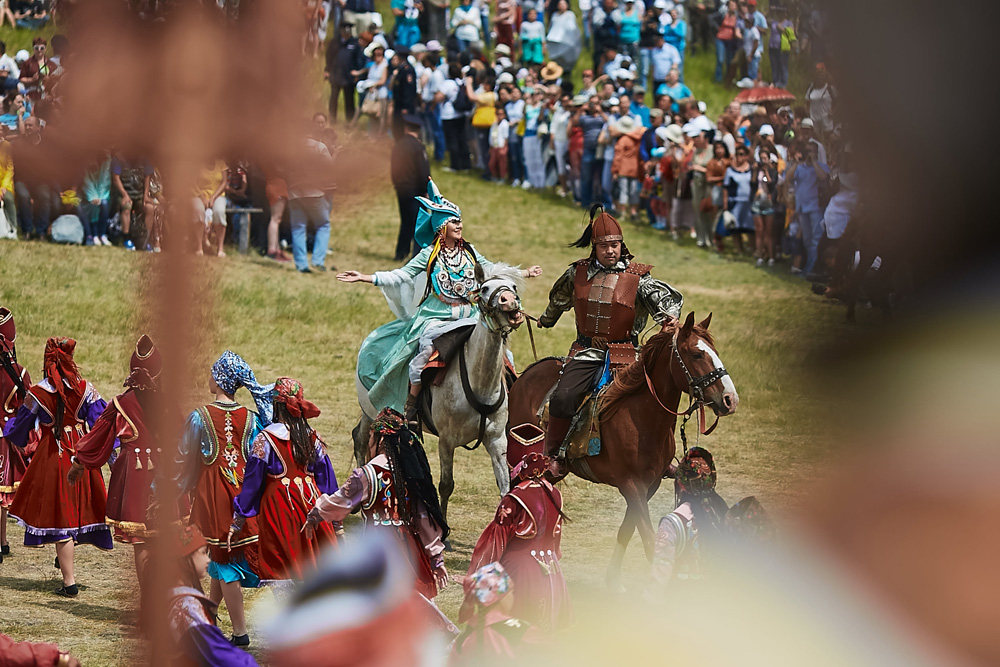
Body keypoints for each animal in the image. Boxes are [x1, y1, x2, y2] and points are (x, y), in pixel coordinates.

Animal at [352, 264, 524, 520]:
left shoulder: (496, 438)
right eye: (484, 288)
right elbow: (446, 485)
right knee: (362, 440)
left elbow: (505, 484)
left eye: (513, 286)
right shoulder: (446, 439)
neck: (479, 383)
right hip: (371, 410)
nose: (509, 301)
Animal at [508, 310, 736, 588]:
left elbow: (627, 530)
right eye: (696, 354)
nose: (730, 399)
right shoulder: (631, 484)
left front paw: (613, 580)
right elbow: (648, 538)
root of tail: (525, 375)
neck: (642, 417)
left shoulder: (648, 485)